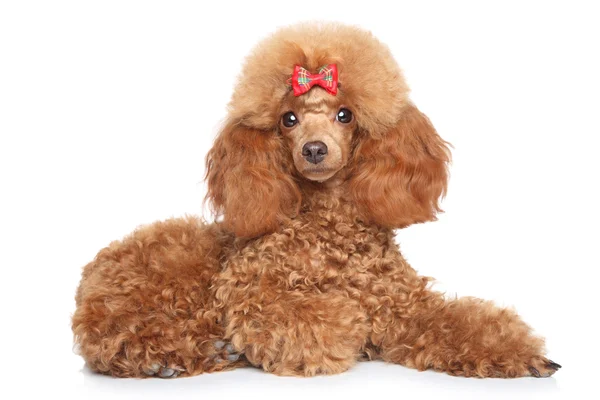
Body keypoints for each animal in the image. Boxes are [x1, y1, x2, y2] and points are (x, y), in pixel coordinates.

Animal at [72, 21, 560, 378]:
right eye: (288, 119)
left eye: (345, 115)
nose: (314, 149)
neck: (330, 230)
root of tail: (91, 277)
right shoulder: (250, 291)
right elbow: (314, 318)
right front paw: (347, 331)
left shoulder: (406, 309)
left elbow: (458, 322)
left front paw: (521, 353)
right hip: (170, 275)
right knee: (115, 336)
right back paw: (176, 354)